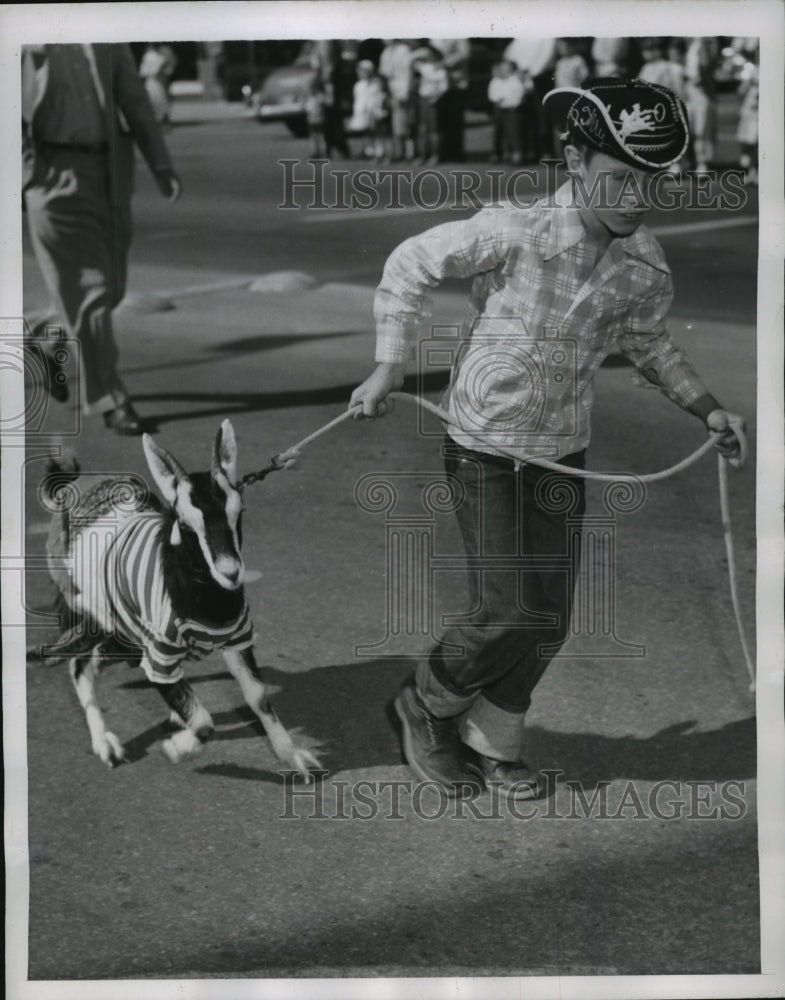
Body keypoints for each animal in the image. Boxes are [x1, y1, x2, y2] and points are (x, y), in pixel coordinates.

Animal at [33, 418, 322, 776]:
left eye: (239, 511)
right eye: (184, 523)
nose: (230, 572)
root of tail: (72, 484)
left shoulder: (236, 638)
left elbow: (258, 696)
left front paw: (293, 755)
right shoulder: (161, 653)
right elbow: (204, 723)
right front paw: (176, 748)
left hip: (124, 631)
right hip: (92, 614)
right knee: (80, 665)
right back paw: (106, 743)